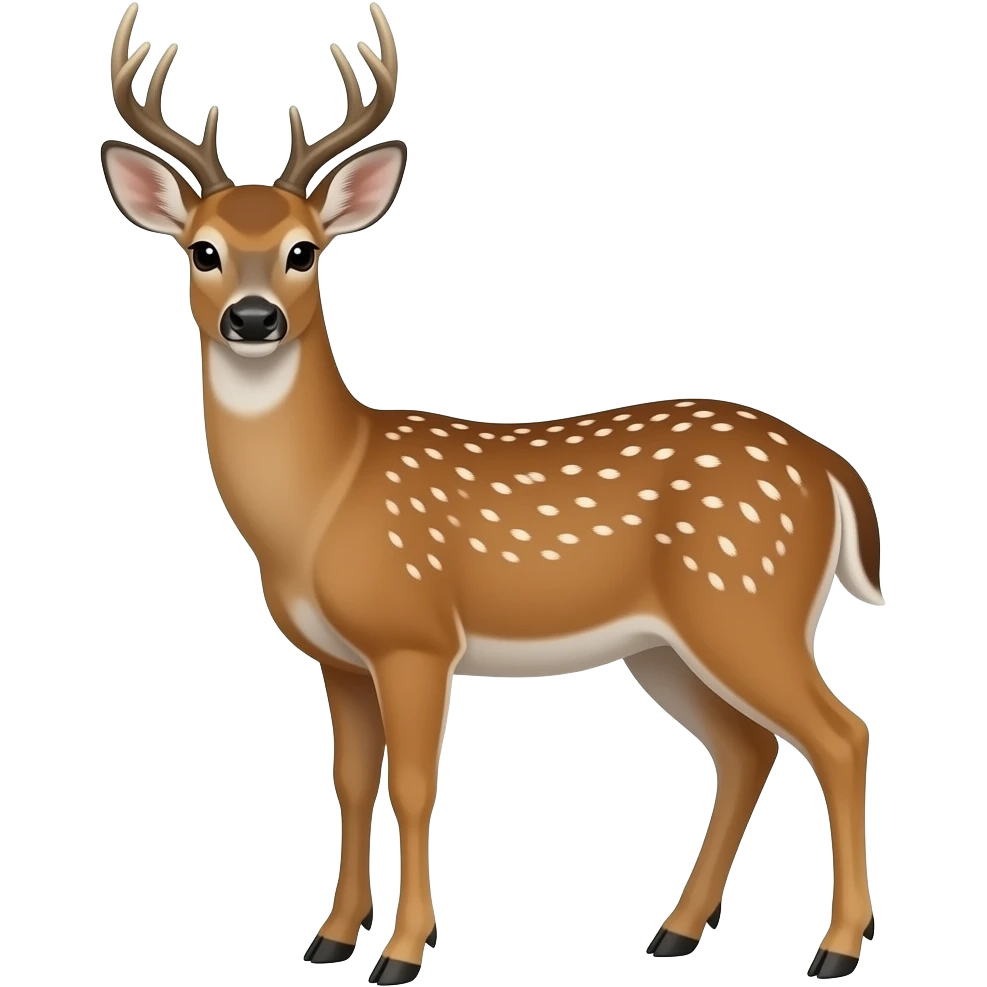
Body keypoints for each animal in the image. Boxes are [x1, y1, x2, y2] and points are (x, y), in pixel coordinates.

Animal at [100, 2, 885, 982]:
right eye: (202, 250)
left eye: (303, 252)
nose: (253, 318)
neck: (325, 497)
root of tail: (832, 469)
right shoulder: (338, 658)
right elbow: (349, 782)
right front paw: (329, 937)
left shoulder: (415, 633)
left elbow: (410, 783)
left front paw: (401, 951)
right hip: (667, 643)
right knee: (748, 748)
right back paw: (674, 931)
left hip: (747, 601)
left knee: (839, 733)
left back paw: (835, 947)